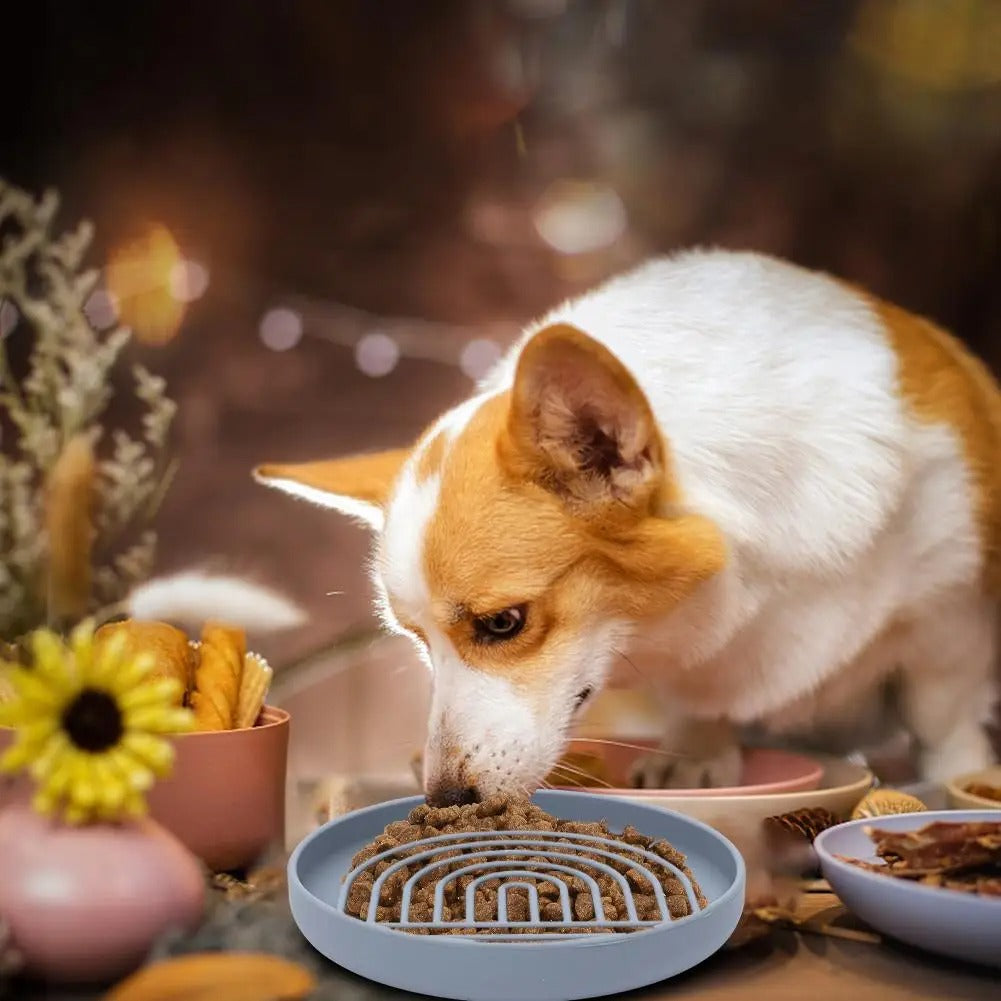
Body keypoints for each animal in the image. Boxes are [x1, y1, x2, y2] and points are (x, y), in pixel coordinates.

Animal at [256, 250, 1001, 812]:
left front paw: (960, 776)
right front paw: (696, 753)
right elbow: (701, 705)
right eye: (416, 640)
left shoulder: (948, 621)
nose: (444, 798)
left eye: (502, 623)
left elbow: (940, 714)